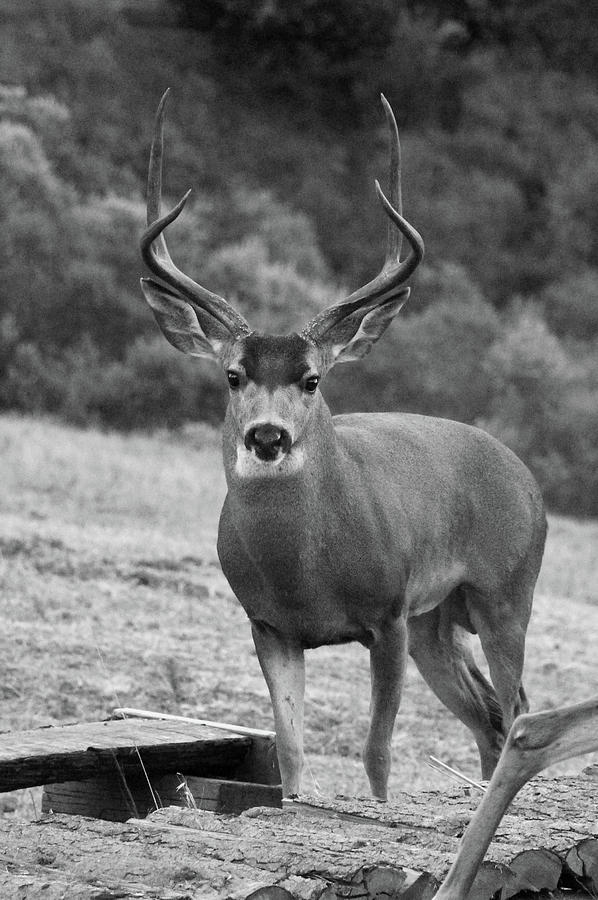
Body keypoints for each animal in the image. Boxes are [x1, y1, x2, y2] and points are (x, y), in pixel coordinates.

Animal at [139, 91, 548, 800]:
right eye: (233, 374)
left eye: (313, 378)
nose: (267, 436)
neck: (307, 574)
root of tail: (525, 477)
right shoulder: (270, 625)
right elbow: (291, 751)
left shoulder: (387, 615)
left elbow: (376, 752)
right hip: (437, 622)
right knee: (489, 715)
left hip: (504, 594)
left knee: (516, 707)